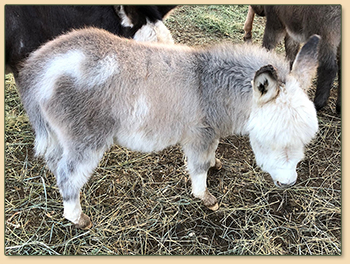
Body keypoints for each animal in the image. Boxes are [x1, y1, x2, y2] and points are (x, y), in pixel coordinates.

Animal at [17, 27, 320, 228]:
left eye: (303, 142)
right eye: (270, 141)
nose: (288, 183)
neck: (210, 83)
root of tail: (38, 69)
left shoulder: (208, 133)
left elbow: (210, 156)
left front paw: (215, 164)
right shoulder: (200, 134)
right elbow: (198, 168)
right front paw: (206, 197)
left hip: (62, 137)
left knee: (56, 164)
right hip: (86, 139)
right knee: (68, 176)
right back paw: (78, 218)